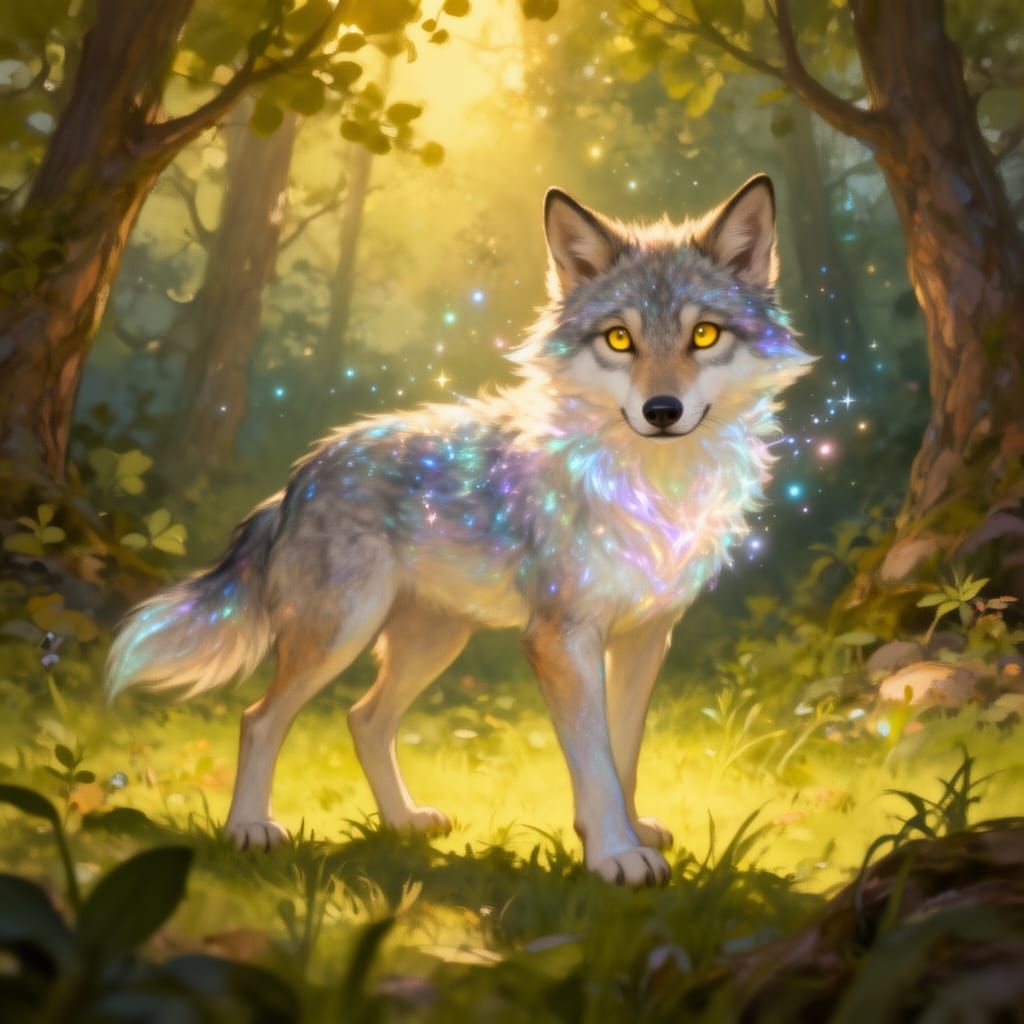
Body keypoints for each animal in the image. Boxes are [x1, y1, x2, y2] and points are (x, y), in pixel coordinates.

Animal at [107, 174, 813, 885]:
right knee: (259, 718)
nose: (661, 410)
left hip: (433, 644)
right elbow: (594, 760)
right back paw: (249, 829)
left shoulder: (645, 639)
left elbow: (623, 751)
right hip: (341, 635)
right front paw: (615, 855)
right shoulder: (561, 639)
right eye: (619, 340)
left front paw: (630, 832)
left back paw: (402, 823)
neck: (654, 490)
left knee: (363, 720)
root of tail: (299, 476)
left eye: (704, 335)